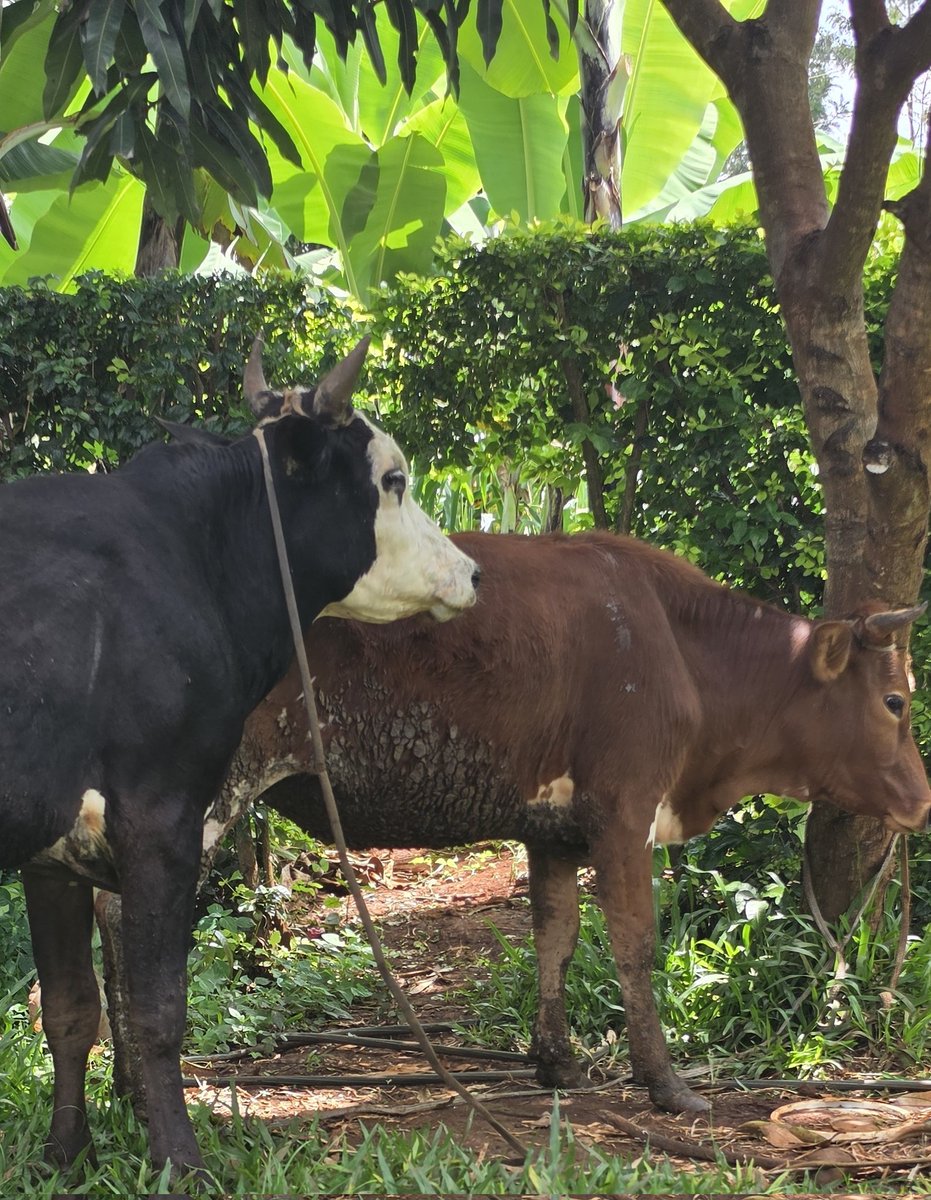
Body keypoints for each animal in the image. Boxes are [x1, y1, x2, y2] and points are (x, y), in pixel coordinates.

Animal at [0, 338, 479, 1178]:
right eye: (392, 479)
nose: (470, 572)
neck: (197, 558)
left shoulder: (52, 850)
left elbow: (70, 1008)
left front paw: (63, 1157)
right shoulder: (161, 812)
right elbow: (156, 1009)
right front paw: (181, 1164)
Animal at [206, 529, 931, 1118]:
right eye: (894, 701)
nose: (922, 799)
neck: (684, 648)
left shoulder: (550, 831)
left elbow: (555, 938)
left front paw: (556, 1062)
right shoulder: (624, 813)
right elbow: (634, 945)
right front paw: (664, 1082)